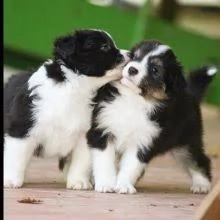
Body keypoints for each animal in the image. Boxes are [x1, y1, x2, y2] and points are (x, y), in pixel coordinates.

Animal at [3, 28, 129, 189]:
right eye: (104, 46)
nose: (131, 54)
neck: (75, 88)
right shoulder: (23, 127)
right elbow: (16, 156)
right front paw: (10, 180)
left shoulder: (85, 135)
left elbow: (81, 162)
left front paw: (78, 181)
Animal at [87, 40, 216, 194]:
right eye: (134, 56)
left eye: (155, 70)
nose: (132, 69)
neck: (132, 99)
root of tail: (191, 94)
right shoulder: (102, 130)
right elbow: (104, 162)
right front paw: (106, 184)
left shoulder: (143, 141)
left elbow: (131, 165)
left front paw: (124, 185)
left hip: (187, 142)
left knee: (199, 160)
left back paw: (201, 185)